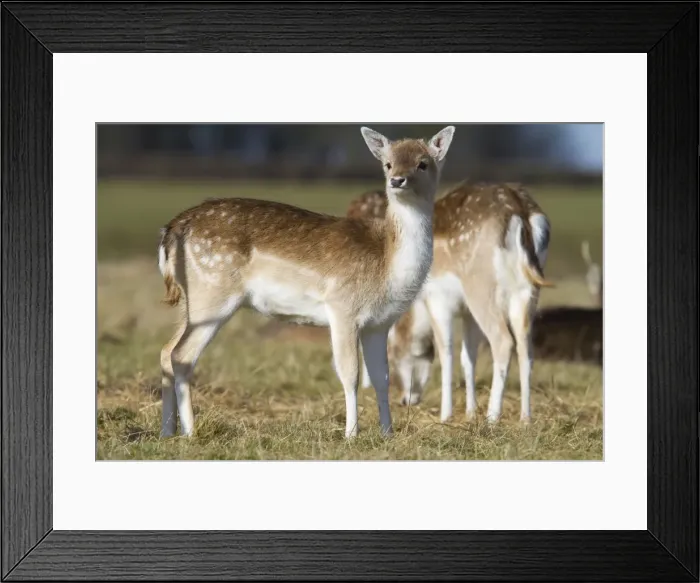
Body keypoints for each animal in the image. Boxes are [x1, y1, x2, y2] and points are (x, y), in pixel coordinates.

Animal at [157, 126, 456, 439]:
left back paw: (167, 431)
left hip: (191, 301)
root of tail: (173, 229)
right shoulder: (342, 307)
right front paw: (351, 434)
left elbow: (381, 377)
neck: (387, 264)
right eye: (387, 164)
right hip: (212, 294)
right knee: (182, 355)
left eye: (423, 163)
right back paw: (189, 431)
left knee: (166, 351)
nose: (397, 180)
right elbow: (350, 373)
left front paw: (388, 433)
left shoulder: (379, 324)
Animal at [349, 181, 552, 424]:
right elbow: (468, 356)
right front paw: (470, 412)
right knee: (526, 348)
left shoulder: (437, 298)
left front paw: (446, 415)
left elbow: (446, 351)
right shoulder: (467, 313)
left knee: (503, 341)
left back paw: (492, 417)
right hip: (527, 292)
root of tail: (521, 212)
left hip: (481, 288)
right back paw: (525, 418)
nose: (405, 399)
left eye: (392, 353)